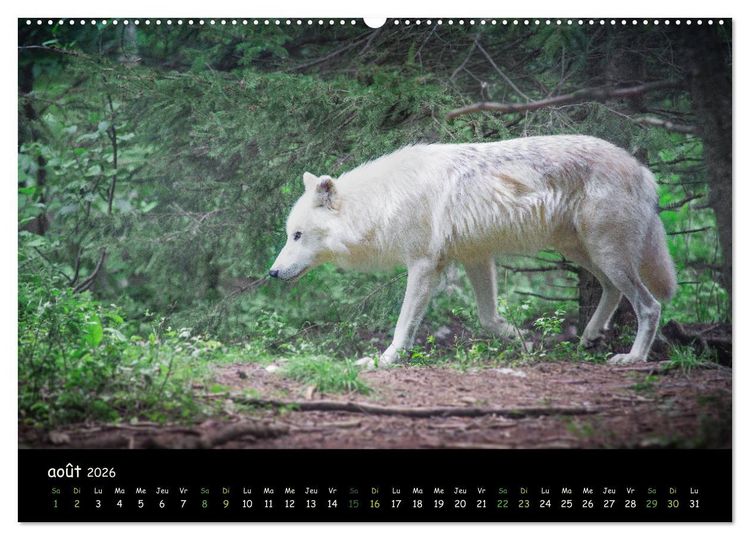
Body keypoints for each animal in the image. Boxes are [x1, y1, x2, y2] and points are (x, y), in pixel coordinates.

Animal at [269, 135, 677, 368]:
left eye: (297, 235)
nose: (271, 273)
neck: (381, 203)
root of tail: (643, 169)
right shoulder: (475, 258)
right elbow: (488, 319)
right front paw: (522, 340)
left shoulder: (423, 266)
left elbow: (403, 324)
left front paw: (385, 359)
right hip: (584, 253)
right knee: (612, 290)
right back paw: (590, 334)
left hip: (605, 253)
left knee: (650, 305)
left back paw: (634, 357)